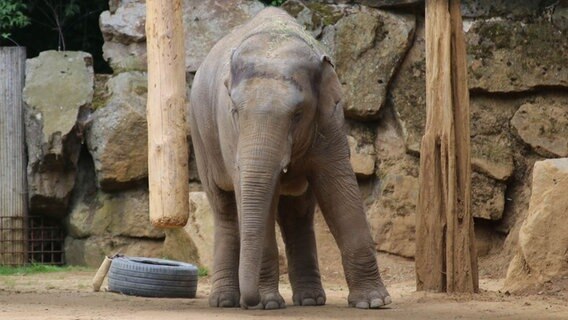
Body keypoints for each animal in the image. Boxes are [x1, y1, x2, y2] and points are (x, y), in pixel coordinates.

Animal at [190, 7, 390, 310]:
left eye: (297, 114)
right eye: (235, 110)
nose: (249, 302)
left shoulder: (330, 120)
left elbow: (339, 189)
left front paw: (374, 302)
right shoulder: (230, 133)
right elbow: (254, 194)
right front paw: (268, 304)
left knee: (298, 213)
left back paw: (310, 300)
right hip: (201, 136)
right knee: (224, 208)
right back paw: (224, 301)